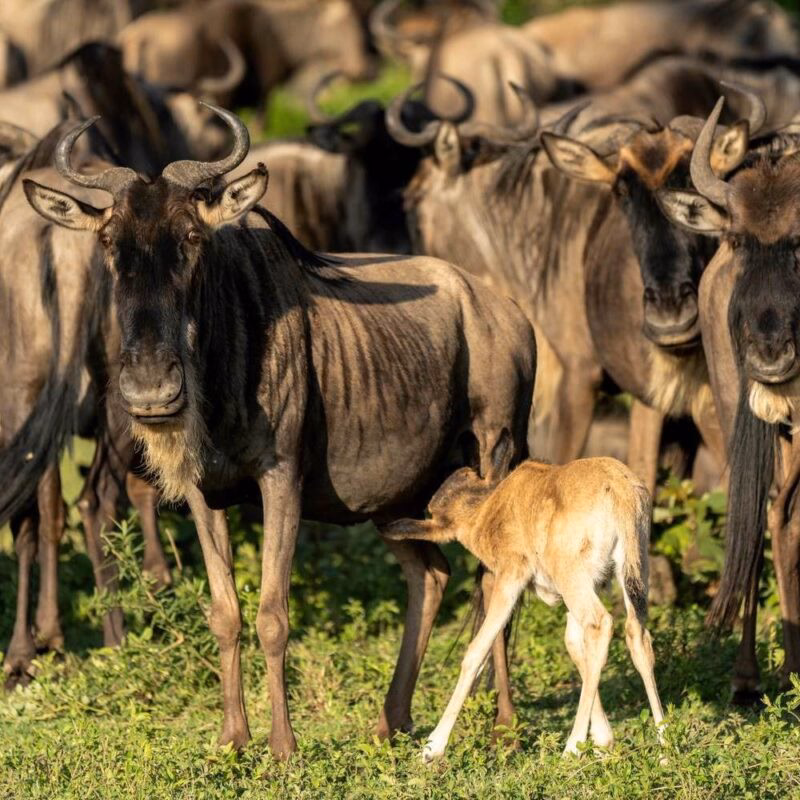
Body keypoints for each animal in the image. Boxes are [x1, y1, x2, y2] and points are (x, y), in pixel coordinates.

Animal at [21, 104, 537, 758]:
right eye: (110, 242)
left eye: (192, 238)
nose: (151, 391)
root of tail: (510, 314)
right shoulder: (202, 494)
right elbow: (225, 614)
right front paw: (232, 739)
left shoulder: (282, 481)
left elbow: (272, 614)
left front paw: (283, 747)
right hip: (398, 497)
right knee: (431, 576)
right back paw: (391, 721)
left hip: (497, 452)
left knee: (495, 580)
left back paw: (504, 725)